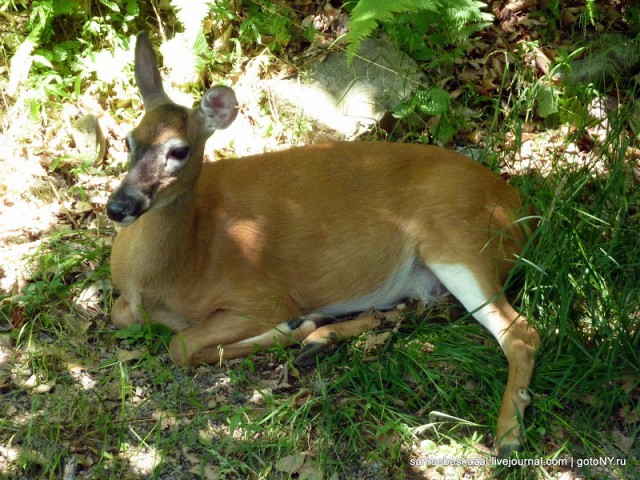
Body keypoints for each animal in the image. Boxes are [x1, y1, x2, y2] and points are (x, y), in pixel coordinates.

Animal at [106, 32, 540, 454]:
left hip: (458, 239)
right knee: (416, 310)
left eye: (179, 150)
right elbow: (123, 317)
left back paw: (508, 435)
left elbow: (181, 345)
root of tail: (518, 207)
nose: (119, 206)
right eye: (128, 140)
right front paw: (309, 328)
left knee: (522, 331)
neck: (169, 277)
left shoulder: (263, 295)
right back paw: (327, 334)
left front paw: (296, 325)